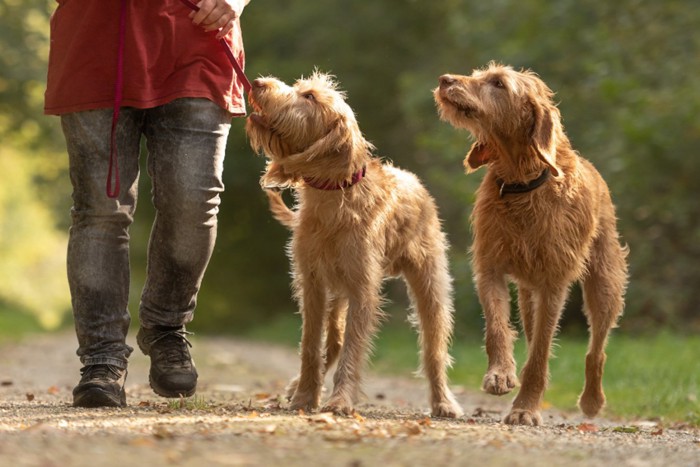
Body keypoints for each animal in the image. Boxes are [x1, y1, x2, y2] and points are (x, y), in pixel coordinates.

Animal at [246, 71, 464, 418]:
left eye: (309, 97)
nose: (257, 83)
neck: (333, 196)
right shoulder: (313, 283)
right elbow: (311, 345)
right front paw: (304, 396)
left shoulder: (363, 288)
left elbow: (353, 346)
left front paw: (340, 401)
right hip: (337, 293)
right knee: (332, 340)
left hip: (430, 287)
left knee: (434, 350)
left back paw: (443, 402)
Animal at [432, 63, 628, 428]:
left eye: (498, 83)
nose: (444, 80)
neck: (522, 183)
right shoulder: (490, 267)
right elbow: (496, 327)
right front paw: (500, 374)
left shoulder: (554, 282)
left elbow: (540, 352)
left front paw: (525, 407)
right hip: (527, 294)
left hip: (605, 284)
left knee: (596, 348)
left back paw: (592, 400)